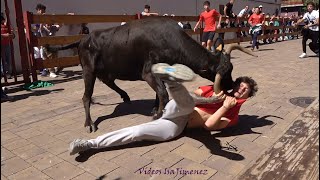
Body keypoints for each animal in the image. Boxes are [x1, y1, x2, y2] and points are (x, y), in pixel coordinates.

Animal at [48, 17, 258, 133]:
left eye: (231, 68)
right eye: (224, 73)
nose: (232, 85)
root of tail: (83, 39)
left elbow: (159, 92)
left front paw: (155, 108)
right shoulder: (148, 72)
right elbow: (163, 93)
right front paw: (157, 114)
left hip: (106, 70)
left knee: (109, 82)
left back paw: (125, 96)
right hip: (88, 70)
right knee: (86, 97)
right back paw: (89, 123)